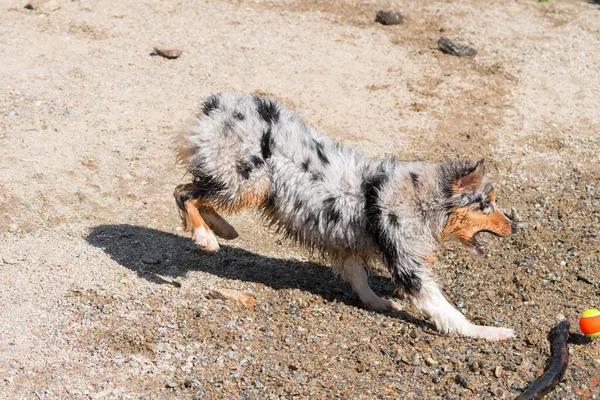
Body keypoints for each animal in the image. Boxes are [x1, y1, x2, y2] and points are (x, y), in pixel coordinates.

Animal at [172, 93, 516, 340]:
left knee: (198, 194)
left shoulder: (346, 239)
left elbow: (359, 277)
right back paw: (206, 238)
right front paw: (489, 332)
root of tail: (216, 106)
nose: (513, 226)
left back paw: (222, 229)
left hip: (243, 183)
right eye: (485, 205)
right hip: (249, 180)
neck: (423, 198)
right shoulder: (408, 265)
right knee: (184, 193)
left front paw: (376, 303)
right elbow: (447, 311)